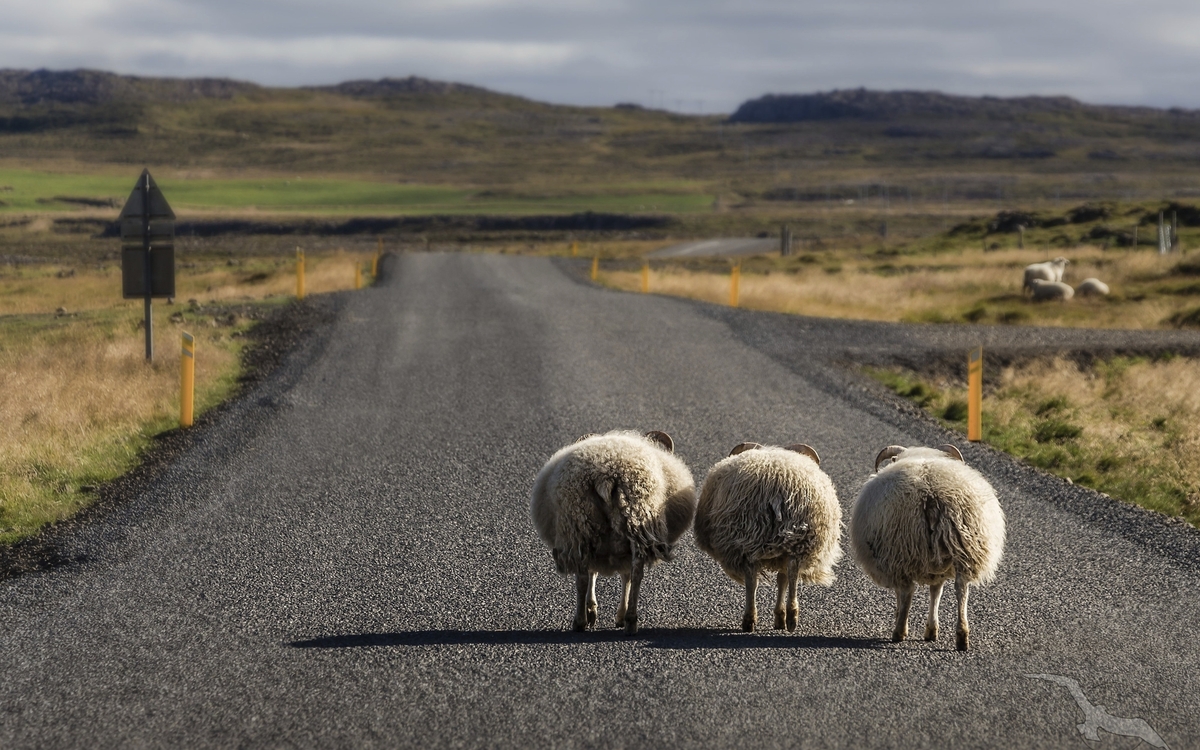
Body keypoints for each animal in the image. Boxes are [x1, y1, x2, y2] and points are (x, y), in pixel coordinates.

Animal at [530, 430, 696, 635]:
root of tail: (606, 476)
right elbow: (622, 575)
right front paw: (611, 614)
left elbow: (599, 573)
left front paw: (596, 612)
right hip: (629, 521)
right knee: (634, 572)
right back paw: (629, 621)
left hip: (581, 525)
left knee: (585, 576)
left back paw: (582, 621)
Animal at [694, 442, 842, 632]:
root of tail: (777, 488)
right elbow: (782, 579)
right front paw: (780, 617)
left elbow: (779, 579)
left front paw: (779, 617)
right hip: (796, 538)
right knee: (792, 571)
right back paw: (792, 616)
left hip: (749, 536)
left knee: (752, 580)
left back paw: (750, 620)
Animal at [849, 445, 1005, 651]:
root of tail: (931, 494)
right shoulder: (938, 566)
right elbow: (936, 592)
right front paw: (932, 631)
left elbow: (904, 594)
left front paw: (907, 622)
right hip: (965, 548)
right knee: (961, 588)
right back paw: (962, 636)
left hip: (900, 548)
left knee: (907, 590)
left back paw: (899, 631)